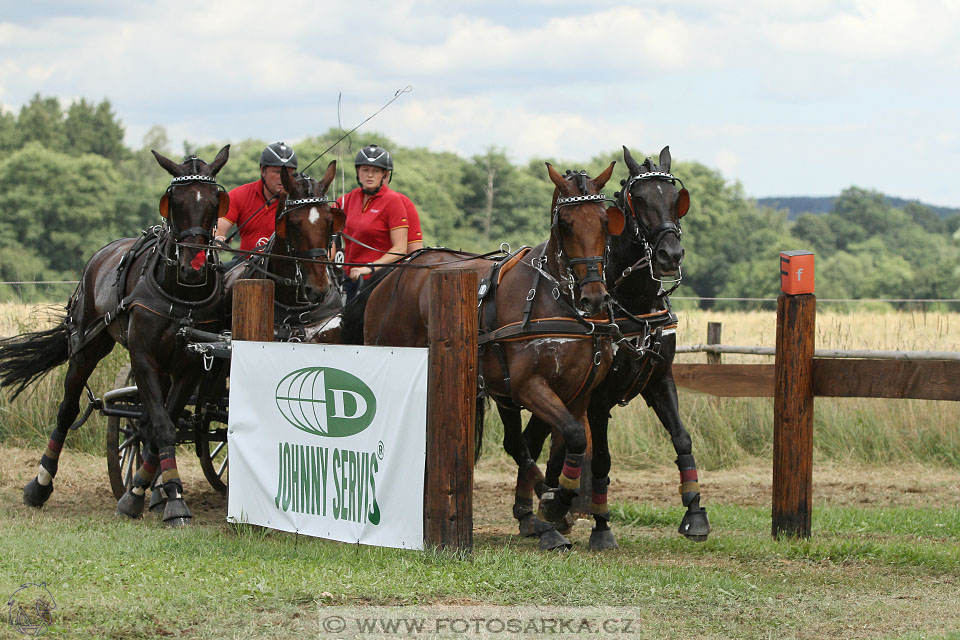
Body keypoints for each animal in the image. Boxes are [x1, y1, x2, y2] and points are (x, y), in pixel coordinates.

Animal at [0, 148, 231, 528]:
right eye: (175, 201)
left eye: (214, 201)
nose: (193, 267)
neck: (180, 293)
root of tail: (104, 251)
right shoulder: (143, 358)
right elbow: (161, 425)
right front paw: (167, 499)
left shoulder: (190, 366)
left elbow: (163, 424)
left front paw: (151, 492)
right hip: (87, 345)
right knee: (68, 409)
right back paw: (40, 484)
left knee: (148, 418)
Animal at [348, 162, 628, 548]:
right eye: (566, 223)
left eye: (604, 221)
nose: (595, 297)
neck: (556, 299)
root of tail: (395, 274)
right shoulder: (529, 386)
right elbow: (570, 435)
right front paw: (552, 504)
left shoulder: (577, 392)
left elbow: (568, 444)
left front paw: (558, 502)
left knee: (515, 443)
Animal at [520, 146, 708, 552]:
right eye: (639, 200)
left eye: (675, 199)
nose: (670, 255)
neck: (633, 302)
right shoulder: (599, 398)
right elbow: (602, 460)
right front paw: (602, 526)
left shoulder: (659, 380)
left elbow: (682, 438)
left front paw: (694, 511)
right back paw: (544, 509)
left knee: (540, 440)